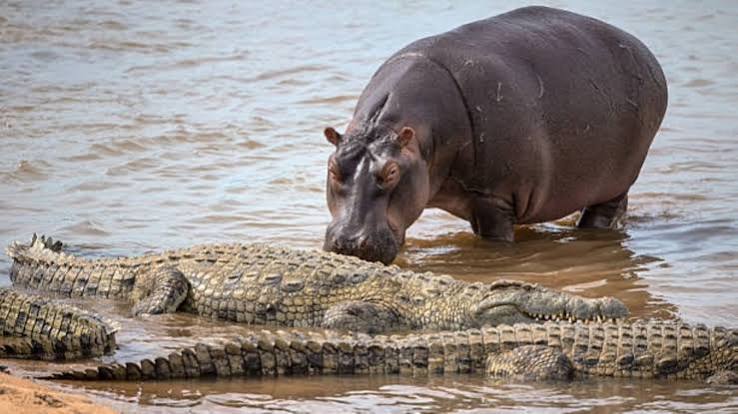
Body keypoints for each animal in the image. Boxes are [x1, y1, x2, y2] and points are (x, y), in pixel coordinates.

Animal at [323, 6, 668, 264]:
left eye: (392, 172)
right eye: (333, 167)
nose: (349, 243)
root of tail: (643, 50)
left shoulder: (494, 197)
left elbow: (493, 240)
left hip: (617, 180)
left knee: (601, 214)